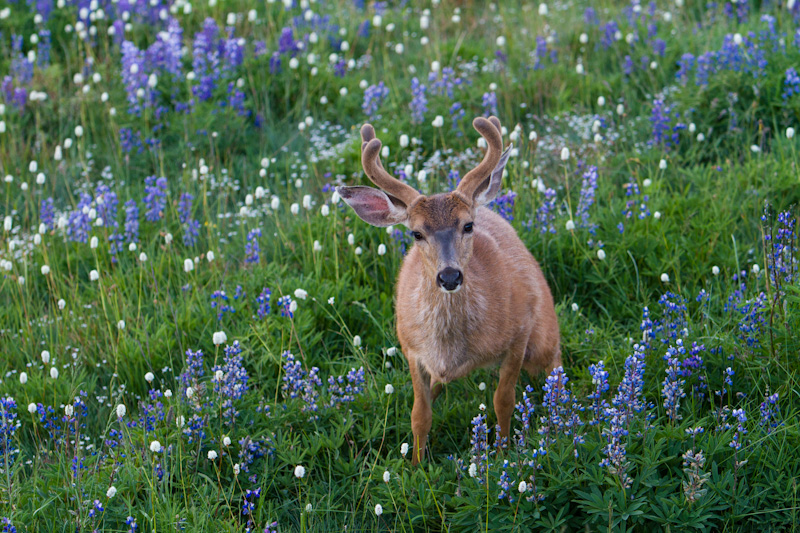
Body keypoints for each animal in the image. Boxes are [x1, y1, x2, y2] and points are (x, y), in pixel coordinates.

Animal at [338, 115, 564, 462]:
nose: (449, 277)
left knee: (556, 368)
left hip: (543, 339)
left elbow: (504, 400)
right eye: (416, 233)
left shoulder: (520, 332)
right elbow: (420, 413)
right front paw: (416, 464)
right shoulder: (410, 347)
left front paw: (502, 454)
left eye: (468, 225)